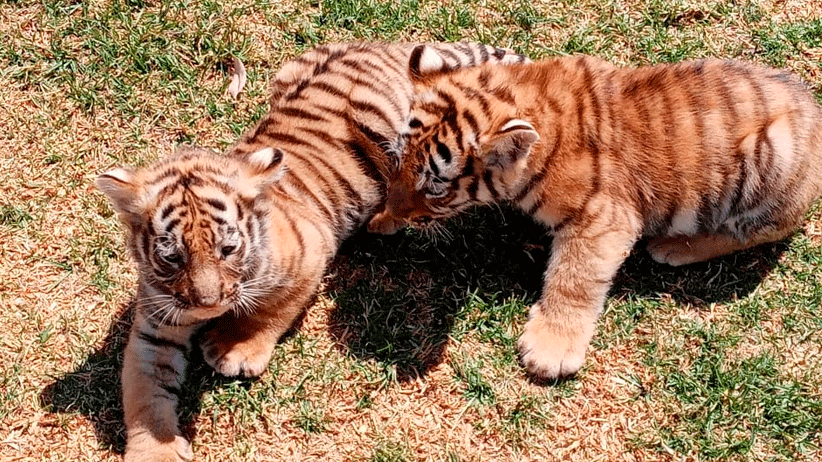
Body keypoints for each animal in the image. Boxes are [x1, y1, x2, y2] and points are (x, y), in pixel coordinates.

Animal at [96, 42, 528, 462]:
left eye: (228, 249)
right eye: (173, 258)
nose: (208, 304)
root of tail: (391, 46)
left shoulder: (309, 253)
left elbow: (272, 310)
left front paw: (236, 348)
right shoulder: (155, 325)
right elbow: (143, 392)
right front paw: (155, 449)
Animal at [375, 45, 822, 381]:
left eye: (435, 187)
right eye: (399, 162)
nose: (394, 212)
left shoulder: (602, 219)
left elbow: (573, 279)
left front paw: (549, 350)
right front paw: (381, 219)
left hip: (773, 162)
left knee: (763, 230)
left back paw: (675, 246)